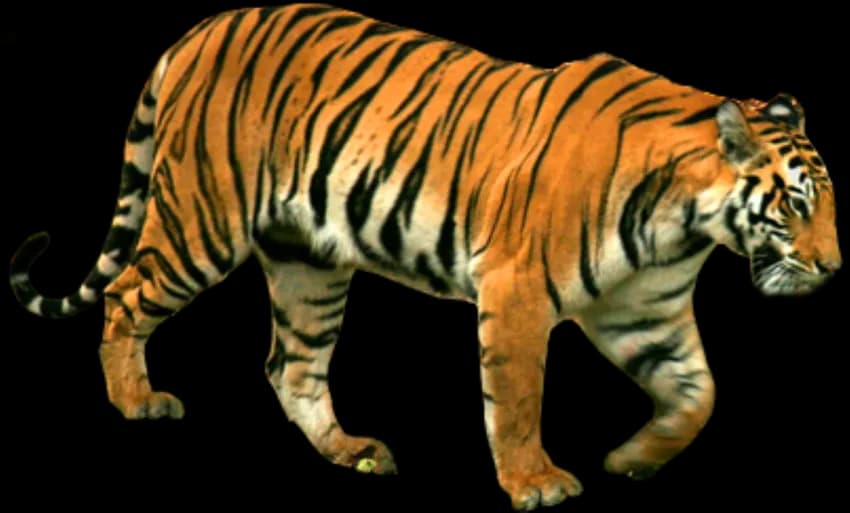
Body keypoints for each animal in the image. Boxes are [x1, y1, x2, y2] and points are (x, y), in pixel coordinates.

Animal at [8, 3, 841, 510]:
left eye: (829, 205)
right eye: (798, 204)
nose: (834, 267)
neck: (684, 223)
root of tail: (201, 28)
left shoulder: (647, 310)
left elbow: (700, 393)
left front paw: (636, 457)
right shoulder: (516, 288)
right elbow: (517, 397)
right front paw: (535, 482)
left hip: (309, 262)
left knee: (292, 365)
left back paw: (352, 450)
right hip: (200, 221)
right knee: (126, 295)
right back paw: (137, 400)